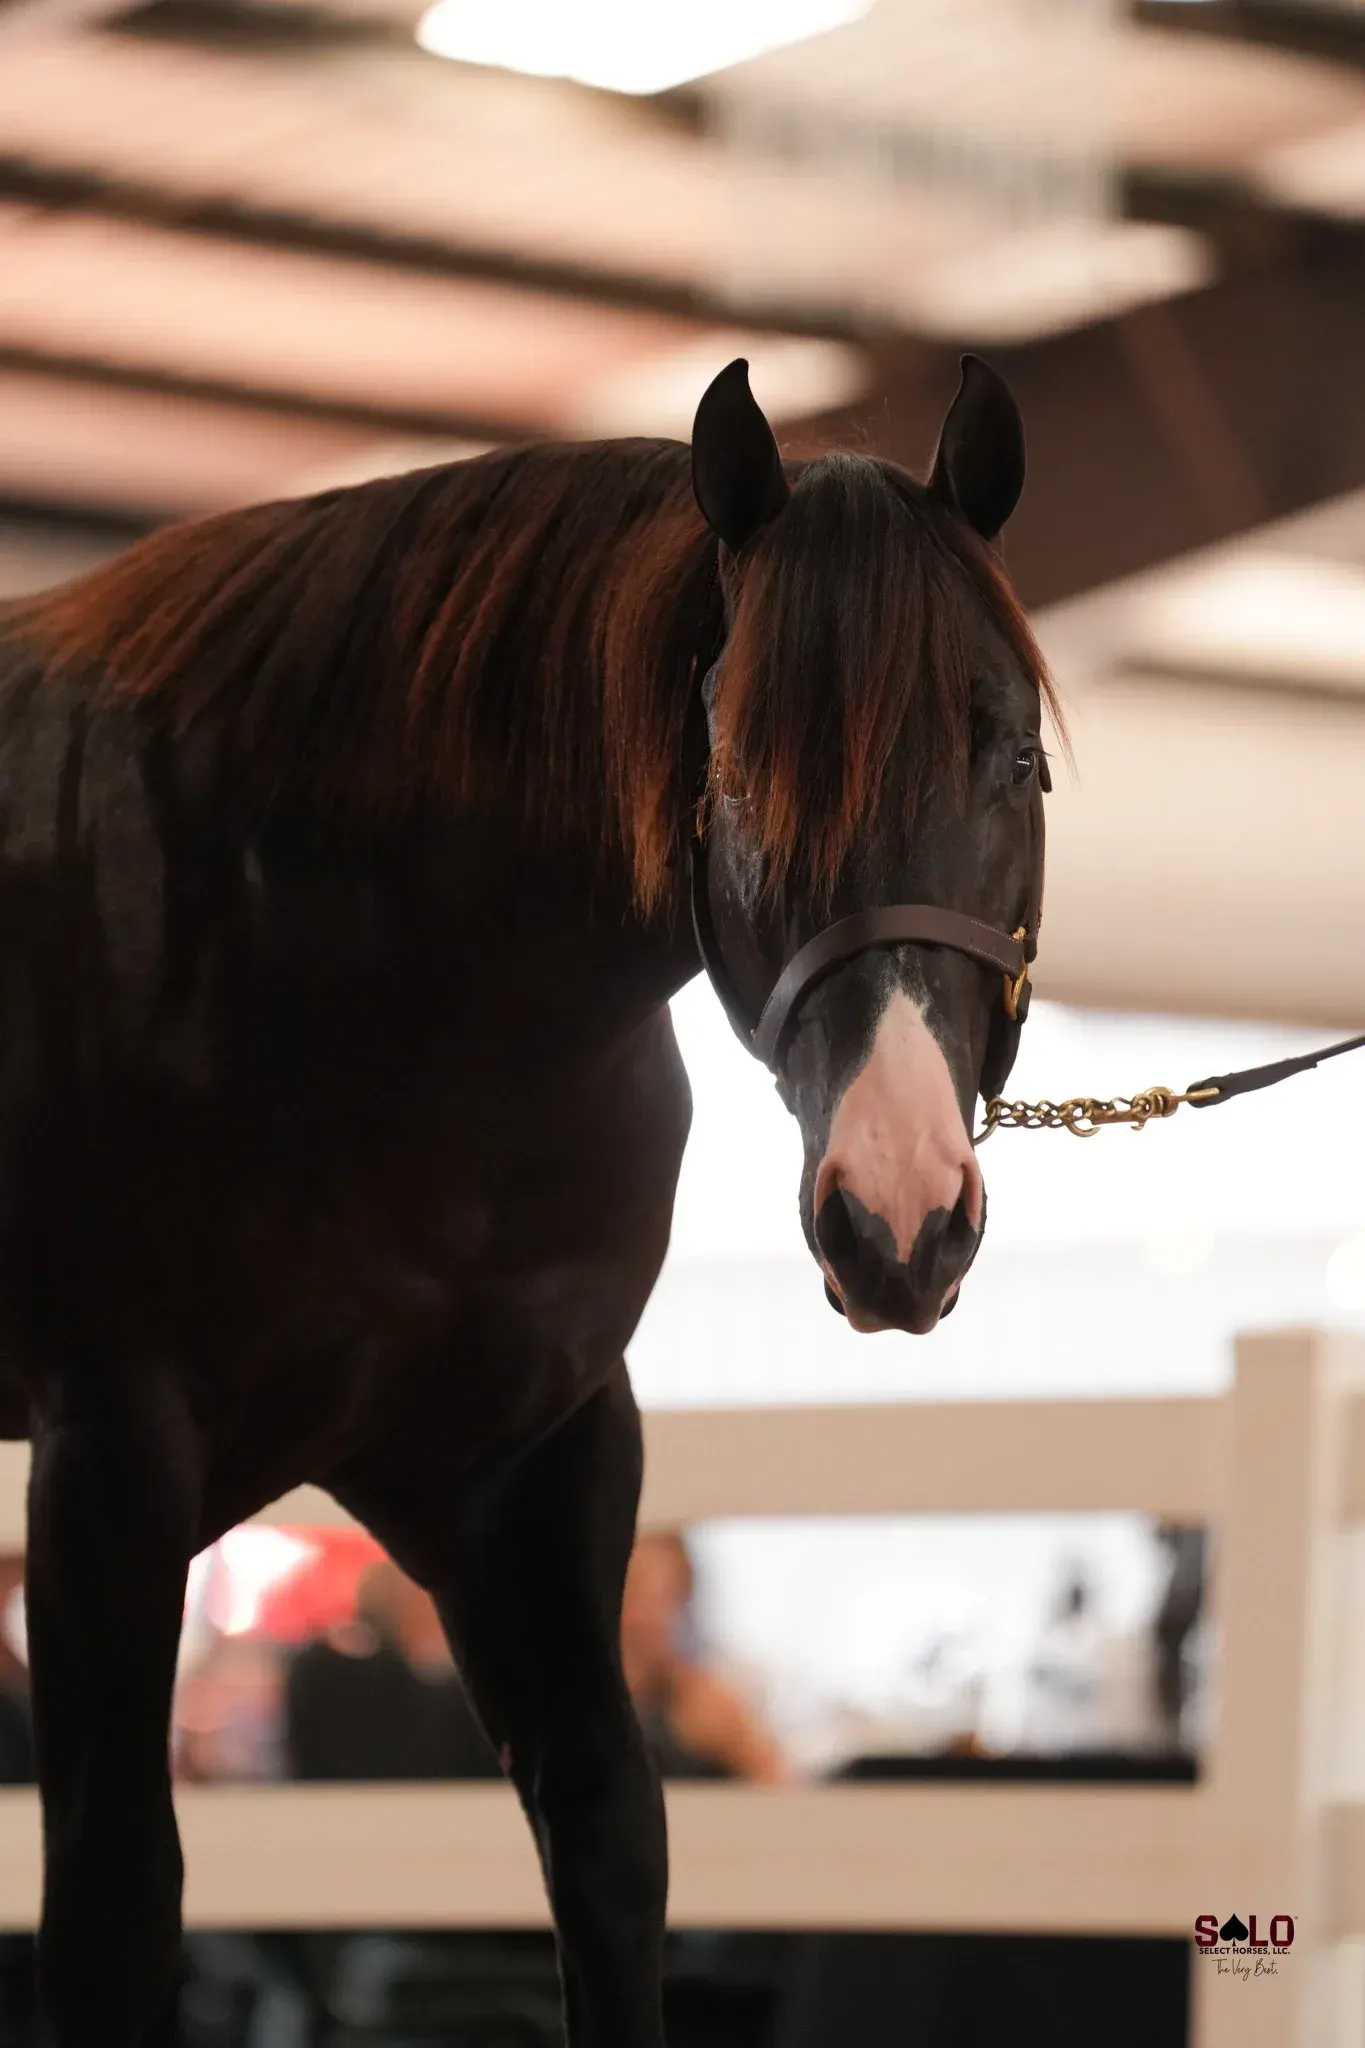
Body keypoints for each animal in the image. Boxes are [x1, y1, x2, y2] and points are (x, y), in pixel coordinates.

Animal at [0, 351, 1054, 2047]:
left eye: (1012, 759)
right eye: (741, 774)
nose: (897, 1213)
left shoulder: (520, 1464)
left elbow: (610, 1845)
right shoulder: (109, 1464)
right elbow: (113, 1908)